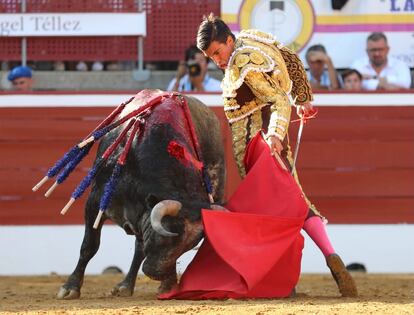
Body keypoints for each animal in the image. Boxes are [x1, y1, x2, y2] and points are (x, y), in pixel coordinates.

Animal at [56, 92, 225, 300]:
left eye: (188, 246)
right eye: (167, 234)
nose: (157, 273)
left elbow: (141, 249)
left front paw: (168, 285)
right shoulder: (95, 201)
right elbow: (89, 245)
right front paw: (70, 288)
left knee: (139, 249)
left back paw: (126, 285)